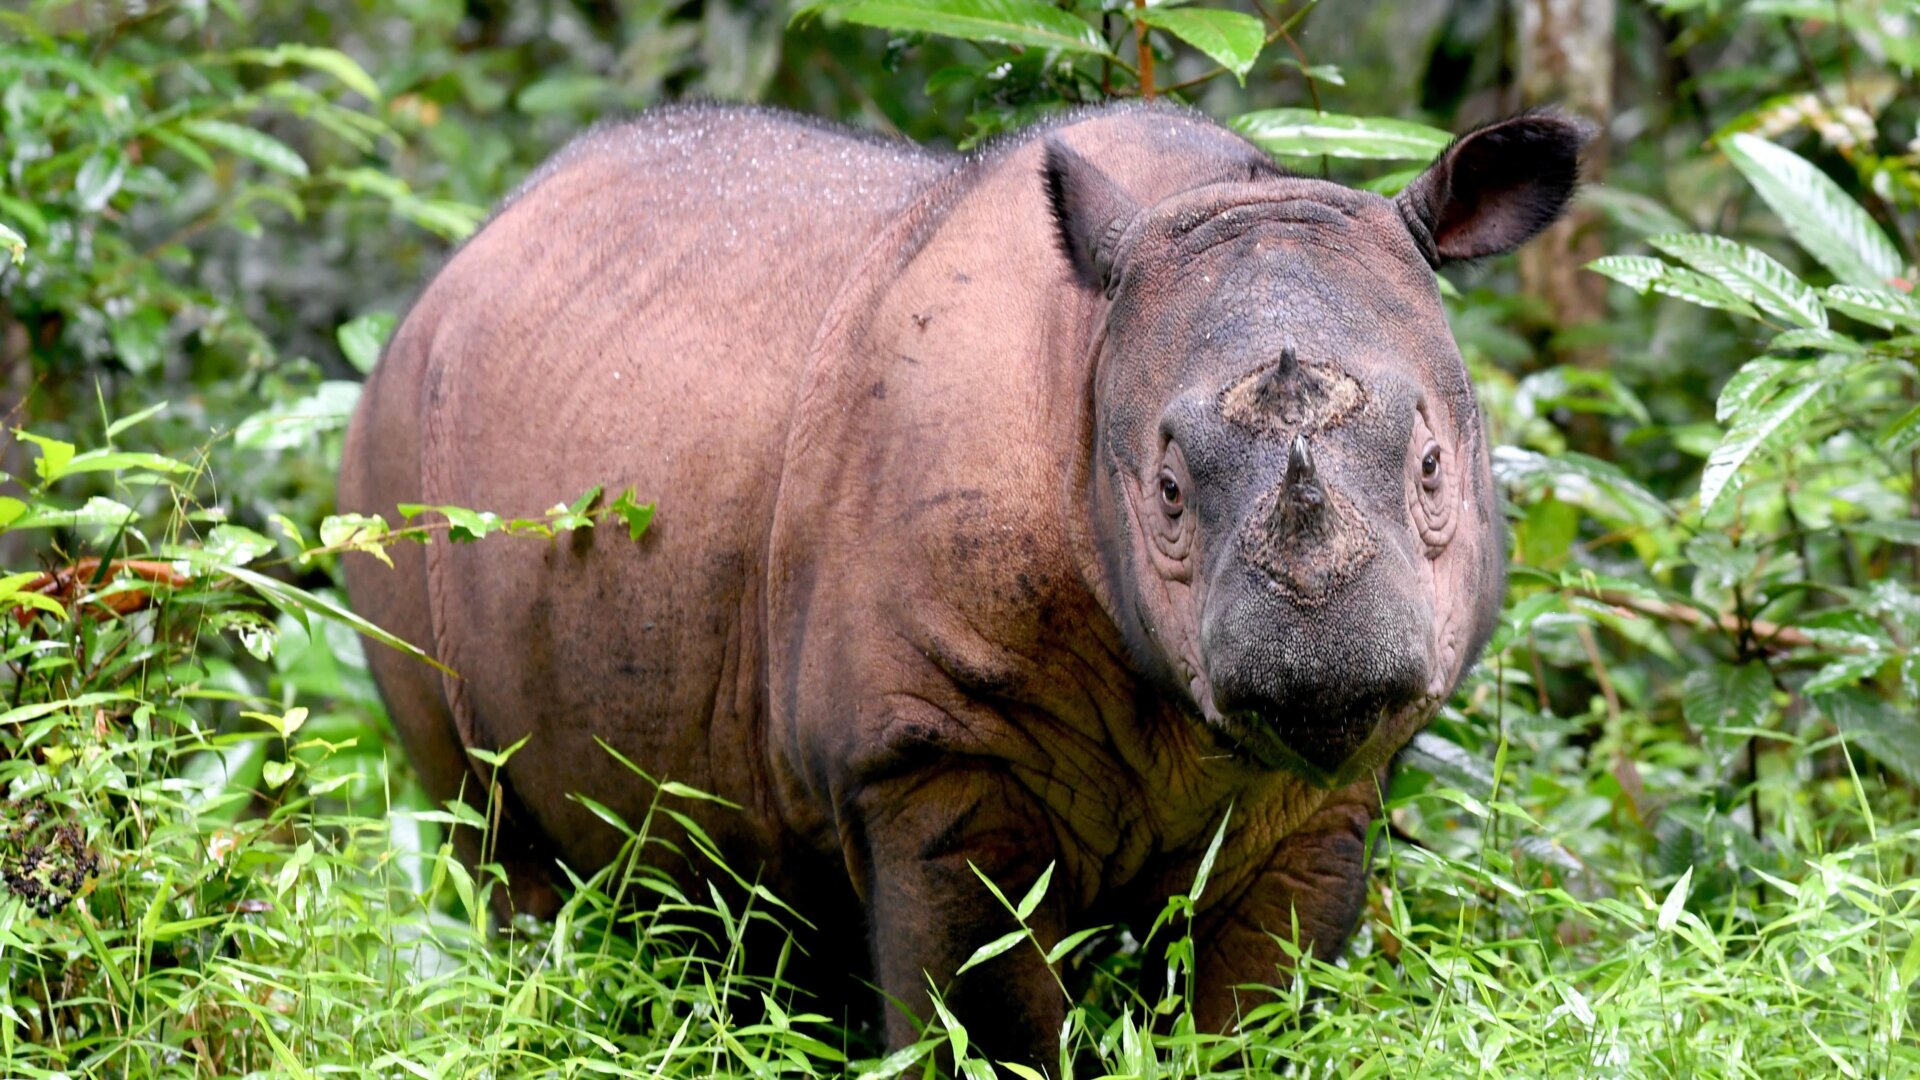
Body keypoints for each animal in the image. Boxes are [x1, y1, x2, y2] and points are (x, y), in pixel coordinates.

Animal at [339, 101, 1585, 1058]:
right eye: (1167, 492)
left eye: (1434, 469)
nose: (1323, 670)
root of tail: (460, 260)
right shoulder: (930, 755)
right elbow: (989, 1019)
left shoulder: (1321, 798)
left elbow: (1257, 1015)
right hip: (388, 462)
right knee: (492, 834)